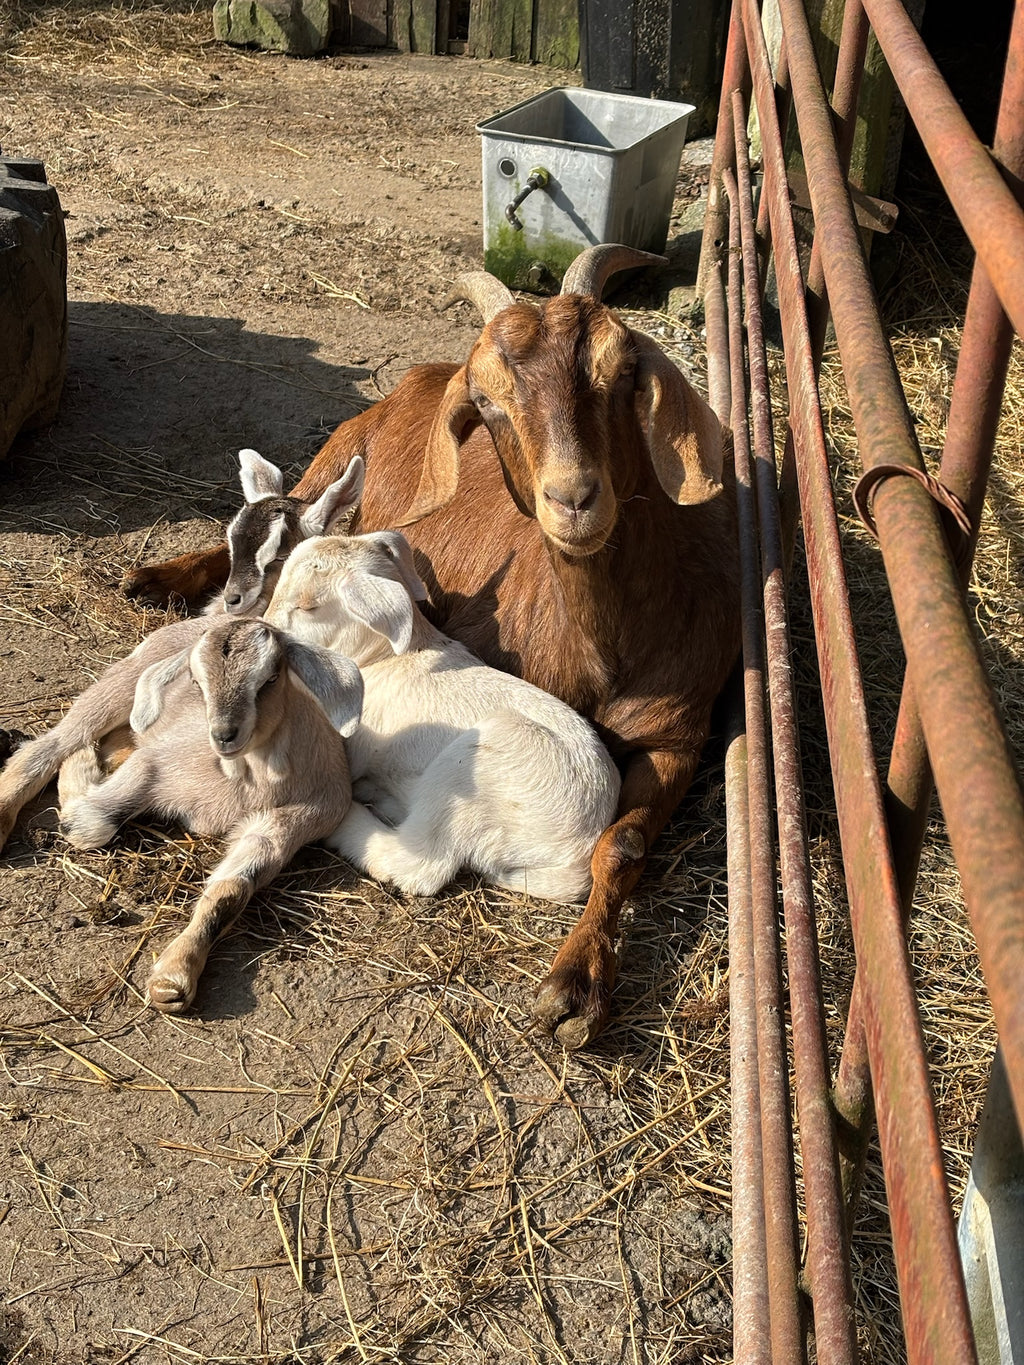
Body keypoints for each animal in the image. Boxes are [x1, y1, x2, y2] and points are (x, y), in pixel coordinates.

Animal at [1, 618, 363, 1011]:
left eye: (270, 678)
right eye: (196, 681)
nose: (223, 735)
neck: (246, 778)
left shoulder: (287, 825)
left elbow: (231, 893)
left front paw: (173, 977)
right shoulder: (154, 765)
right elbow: (86, 824)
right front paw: (79, 765)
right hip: (120, 684)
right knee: (54, 743)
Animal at [265, 531, 621, 902]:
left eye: (308, 607)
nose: (266, 629)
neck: (384, 657)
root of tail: (578, 854)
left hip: (478, 770)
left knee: (420, 863)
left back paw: (353, 819)